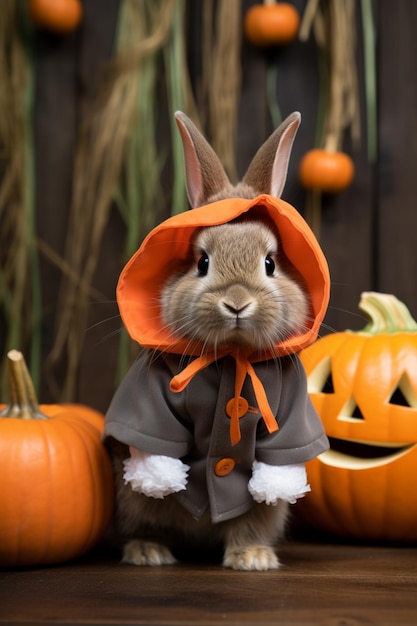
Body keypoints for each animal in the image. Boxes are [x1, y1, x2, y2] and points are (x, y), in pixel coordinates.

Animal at [105, 109, 332, 568]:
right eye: (202, 263)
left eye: (270, 263)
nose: (237, 303)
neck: (231, 357)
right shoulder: (152, 399)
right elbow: (159, 450)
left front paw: (252, 559)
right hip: (131, 496)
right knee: (147, 514)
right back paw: (148, 552)